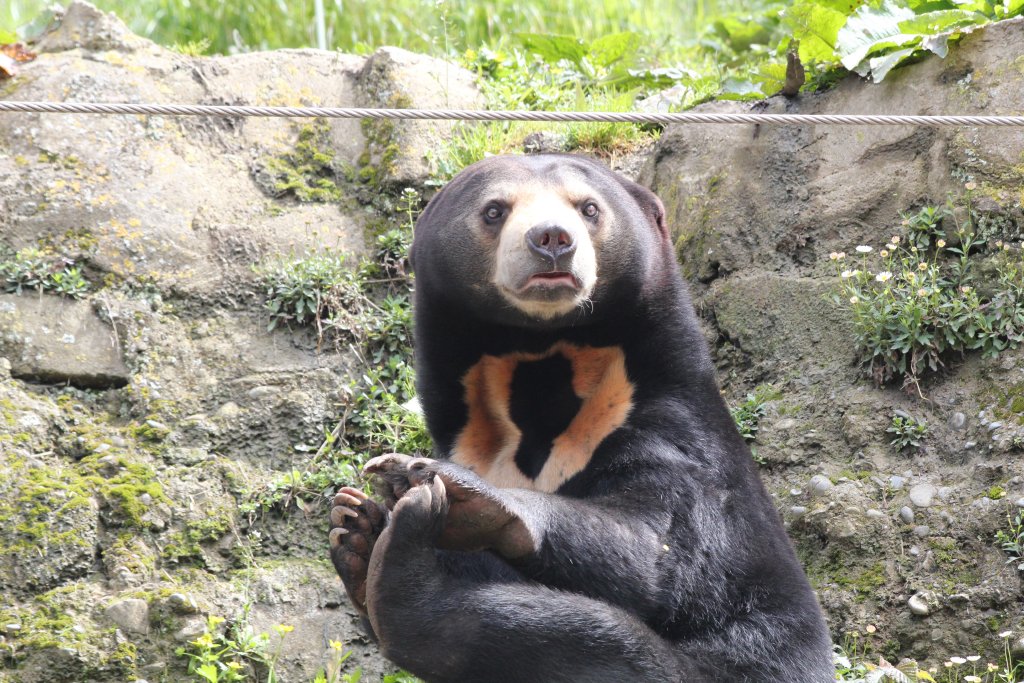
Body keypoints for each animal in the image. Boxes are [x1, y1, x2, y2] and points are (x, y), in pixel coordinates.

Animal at [328, 154, 834, 682]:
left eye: (588, 207)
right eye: (494, 210)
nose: (552, 238)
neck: (544, 359)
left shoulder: (669, 428)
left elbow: (664, 548)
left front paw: (453, 490)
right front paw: (377, 505)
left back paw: (400, 558)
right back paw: (361, 535)